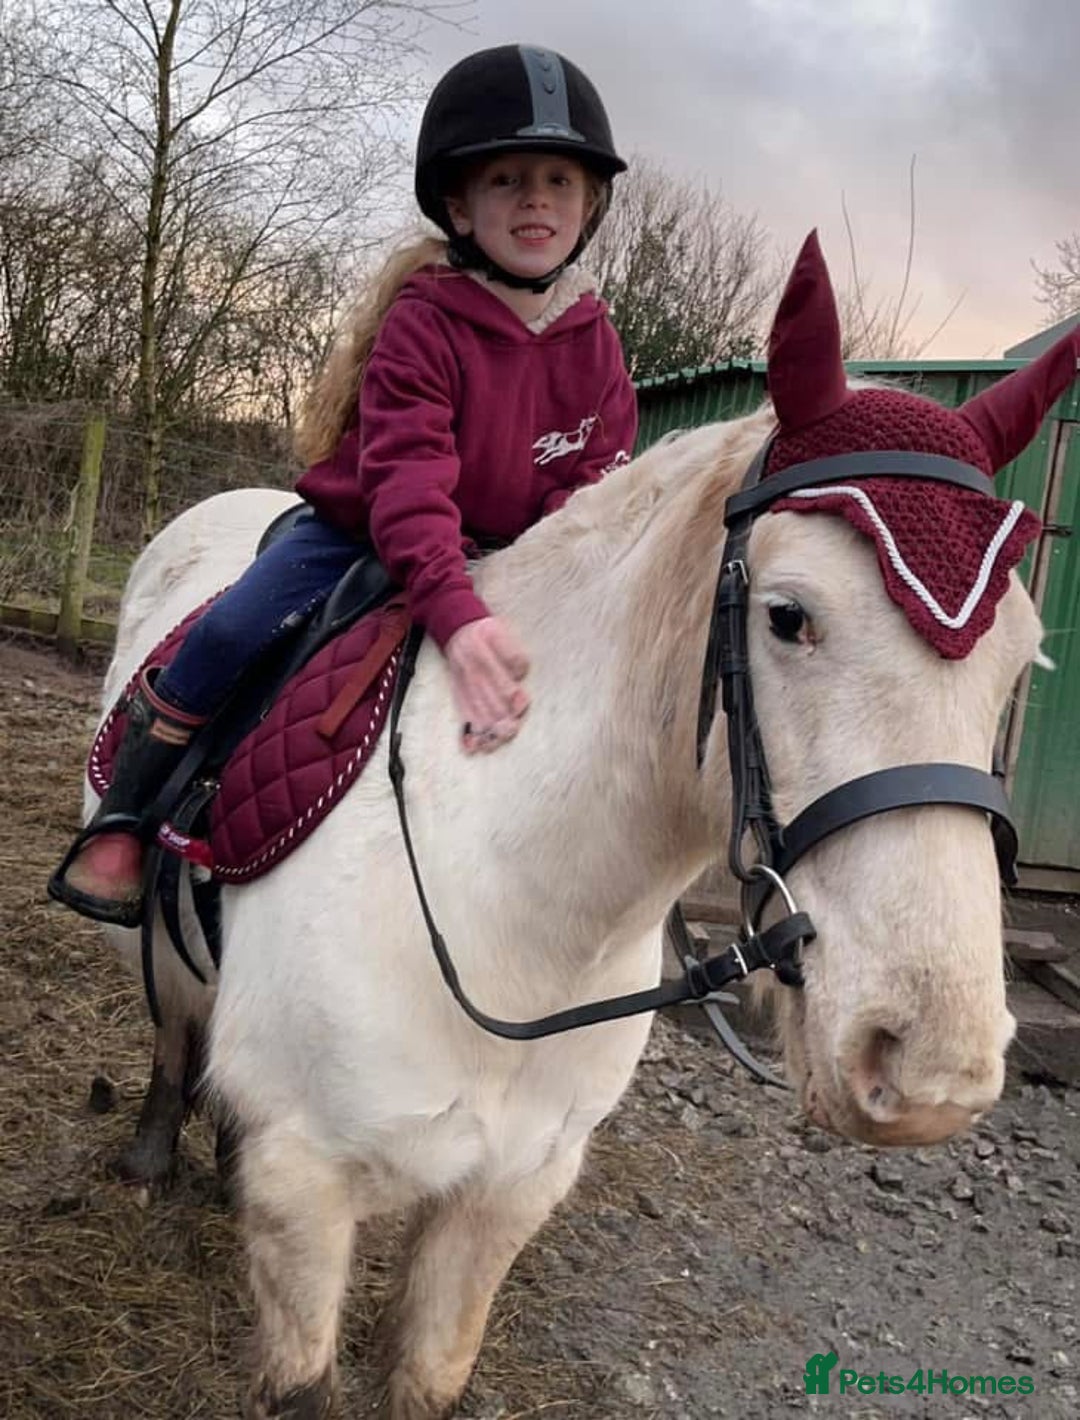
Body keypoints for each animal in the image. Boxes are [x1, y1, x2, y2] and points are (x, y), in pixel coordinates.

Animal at [83, 235, 1075, 1418]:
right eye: (789, 616)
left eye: (1022, 658)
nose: (932, 1068)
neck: (515, 911)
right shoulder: (307, 1190)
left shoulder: (509, 1191)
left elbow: (428, 1372)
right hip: (157, 942)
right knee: (176, 1026)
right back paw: (148, 1159)